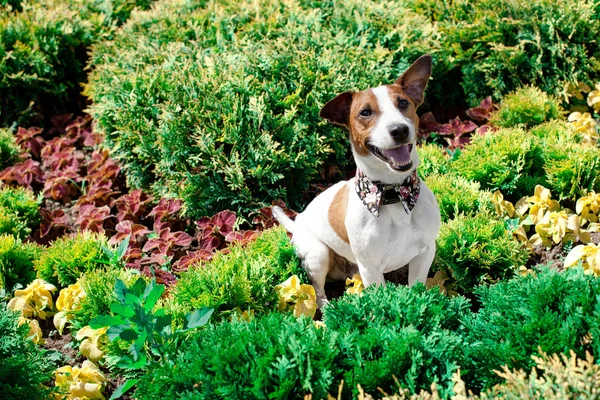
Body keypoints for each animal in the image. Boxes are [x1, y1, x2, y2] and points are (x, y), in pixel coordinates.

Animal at [272, 54, 440, 306]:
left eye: (403, 103)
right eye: (365, 112)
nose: (399, 129)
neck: (393, 193)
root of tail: (297, 222)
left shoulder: (425, 253)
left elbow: (416, 288)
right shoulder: (371, 270)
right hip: (317, 254)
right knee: (318, 291)